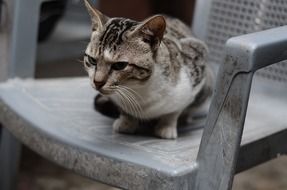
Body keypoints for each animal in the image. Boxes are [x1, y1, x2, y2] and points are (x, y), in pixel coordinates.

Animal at [82, 0, 214, 140]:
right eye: (92, 60)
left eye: (120, 65)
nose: (97, 82)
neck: (137, 89)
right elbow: (125, 111)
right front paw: (127, 121)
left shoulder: (196, 64)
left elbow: (175, 111)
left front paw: (167, 126)